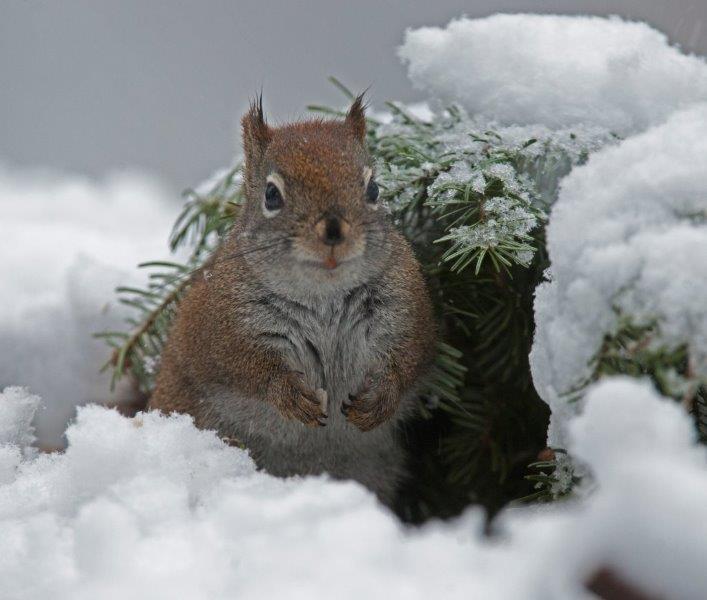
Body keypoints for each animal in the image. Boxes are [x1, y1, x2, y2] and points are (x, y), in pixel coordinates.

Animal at [149, 95, 436, 505]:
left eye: (374, 189)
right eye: (271, 195)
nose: (333, 231)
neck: (322, 295)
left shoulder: (408, 311)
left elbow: (411, 359)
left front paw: (380, 399)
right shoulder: (219, 328)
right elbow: (246, 368)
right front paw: (290, 396)